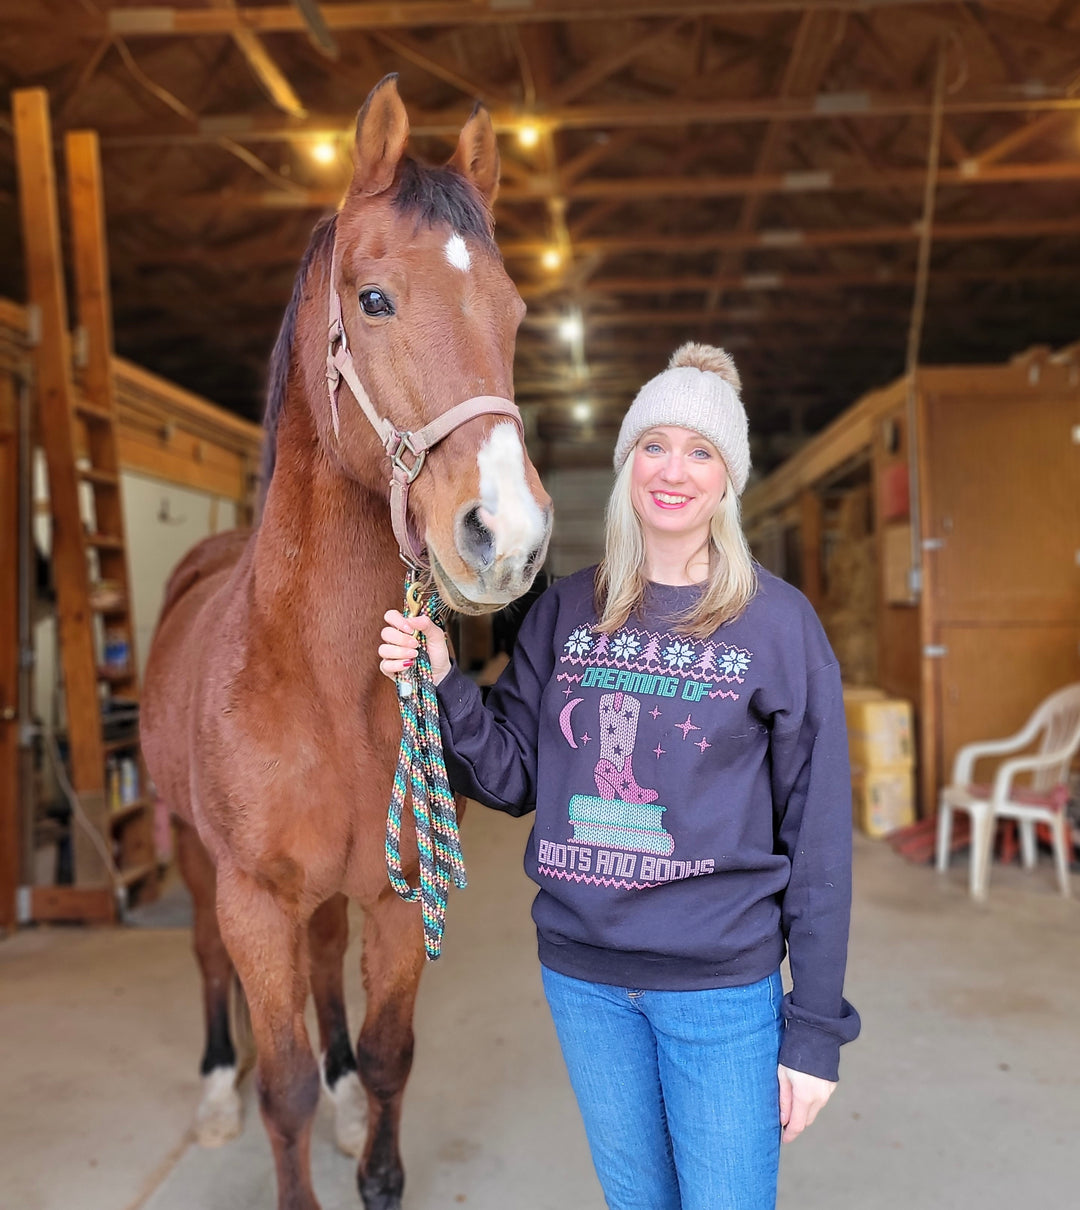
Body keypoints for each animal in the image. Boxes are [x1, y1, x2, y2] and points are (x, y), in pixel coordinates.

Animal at [140, 78, 551, 1210]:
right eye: (373, 301)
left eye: (513, 313)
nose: (506, 535)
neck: (316, 680)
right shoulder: (253, 899)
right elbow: (277, 1083)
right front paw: (278, 1107)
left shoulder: (401, 895)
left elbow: (388, 1054)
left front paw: (364, 1129)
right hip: (191, 853)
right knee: (204, 964)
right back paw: (212, 1091)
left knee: (328, 968)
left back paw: (339, 1097)